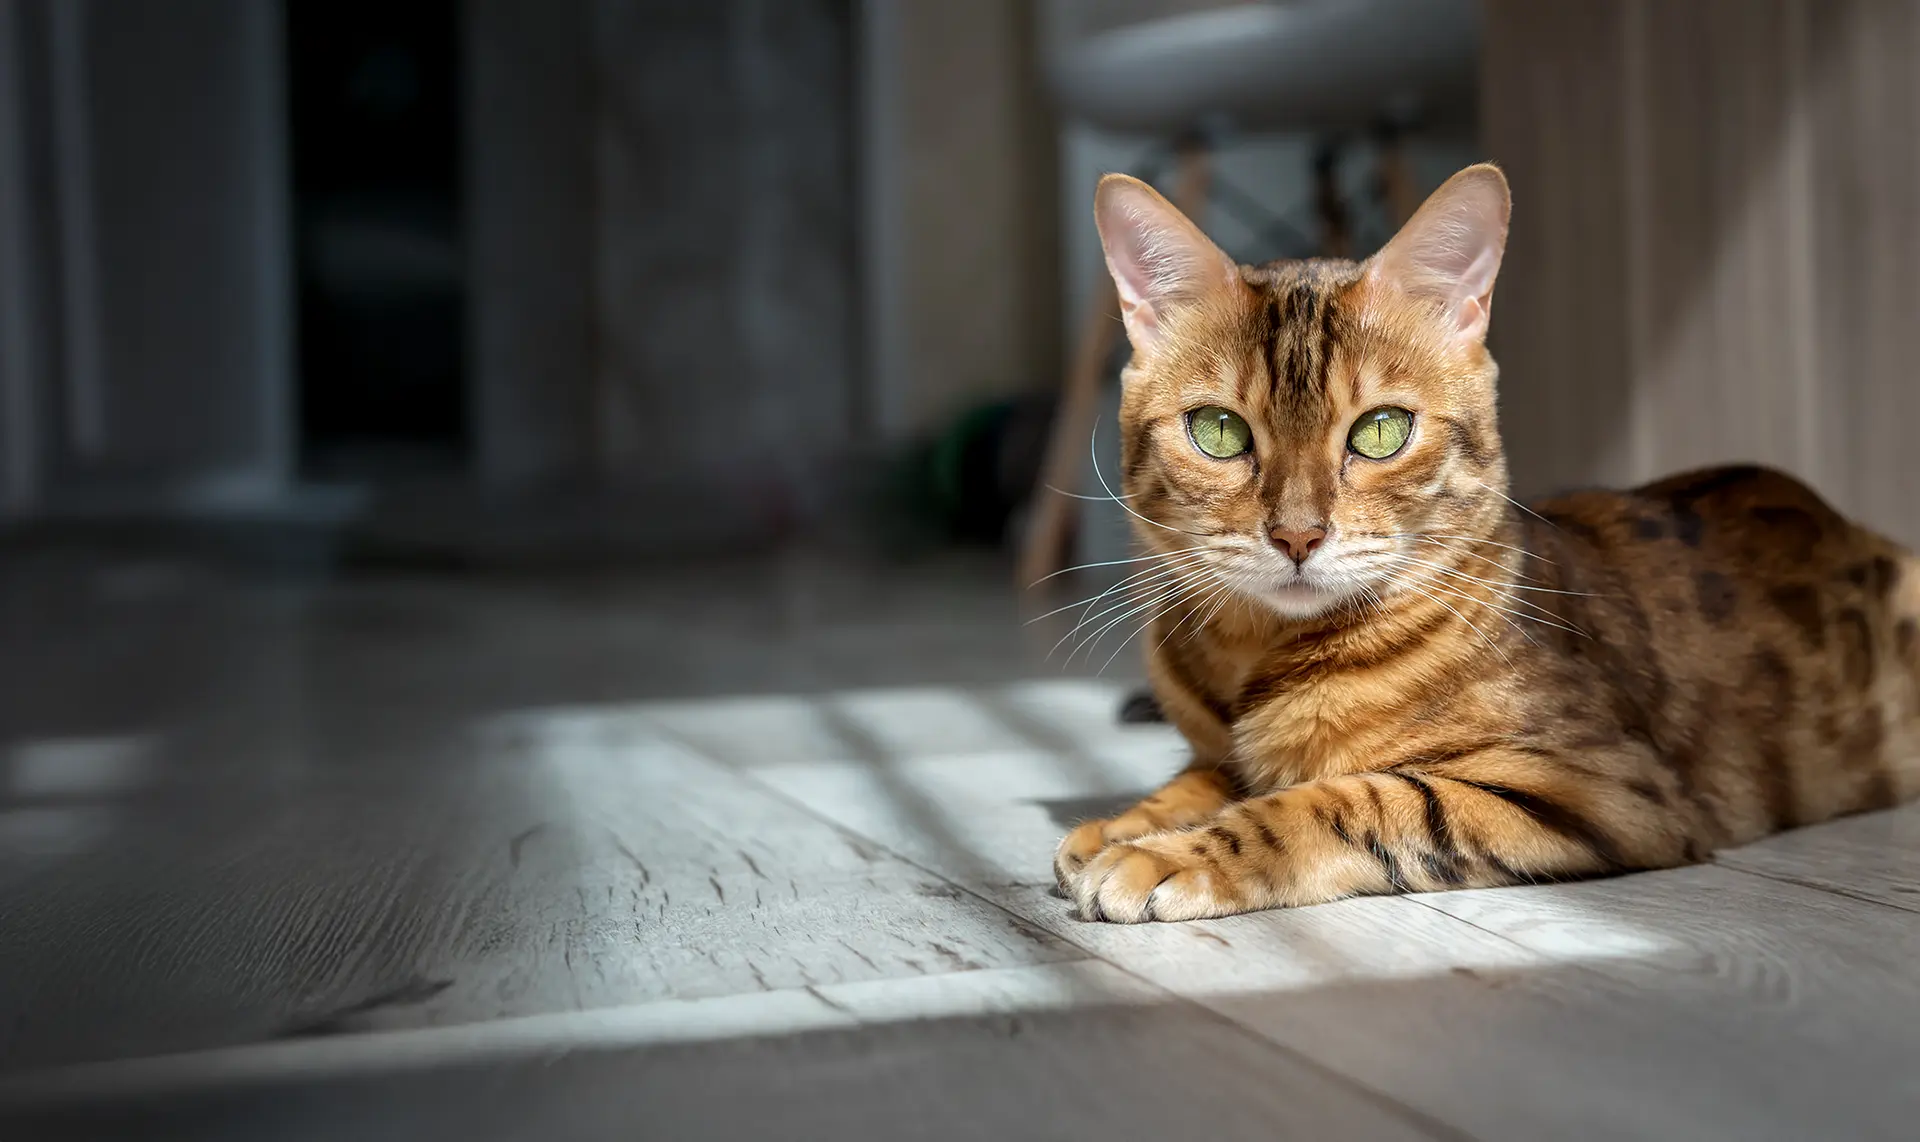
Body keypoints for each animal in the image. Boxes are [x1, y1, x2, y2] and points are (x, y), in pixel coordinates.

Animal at [1052, 163, 1920, 921]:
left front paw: (1165, 853)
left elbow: (1346, 796)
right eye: (1219, 431)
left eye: (1381, 431)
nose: (1297, 535)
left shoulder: (1594, 786)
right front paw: (1128, 822)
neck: (1255, 659)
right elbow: (1199, 778)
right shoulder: (1214, 750)